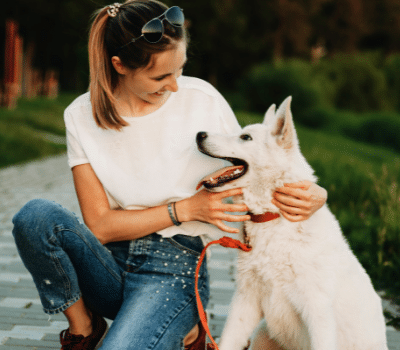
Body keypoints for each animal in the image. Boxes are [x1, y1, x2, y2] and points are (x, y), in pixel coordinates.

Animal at [195, 97, 390, 350]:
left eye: (245, 137)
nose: (199, 134)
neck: (274, 218)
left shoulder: (318, 314)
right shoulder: (245, 302)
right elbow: (228, 341)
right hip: (261, 334)